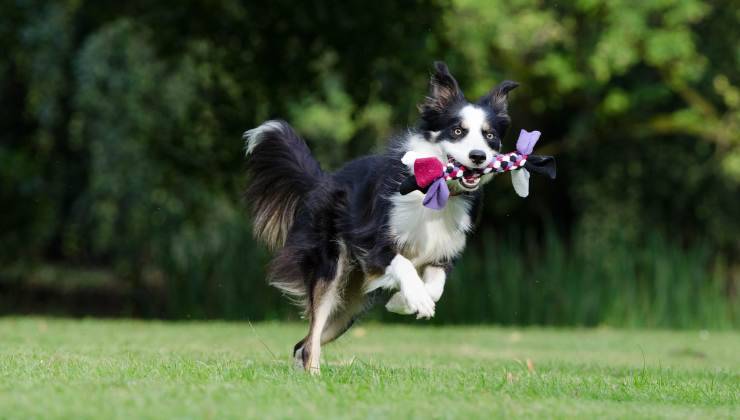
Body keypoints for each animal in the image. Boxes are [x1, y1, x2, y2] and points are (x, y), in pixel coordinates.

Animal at [246, 61, 516, 370]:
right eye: (458, 131)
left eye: (490, 135)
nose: (478, 156)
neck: (437, 191)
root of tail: (323, 181)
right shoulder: (371, 241)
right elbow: (403, 264)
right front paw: (416, 299)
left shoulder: (443, 251)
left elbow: (436, 286)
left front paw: (403, 301)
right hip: (331, 268)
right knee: (310, 338)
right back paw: (314, 374)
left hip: (349, 306)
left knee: (301, 344)